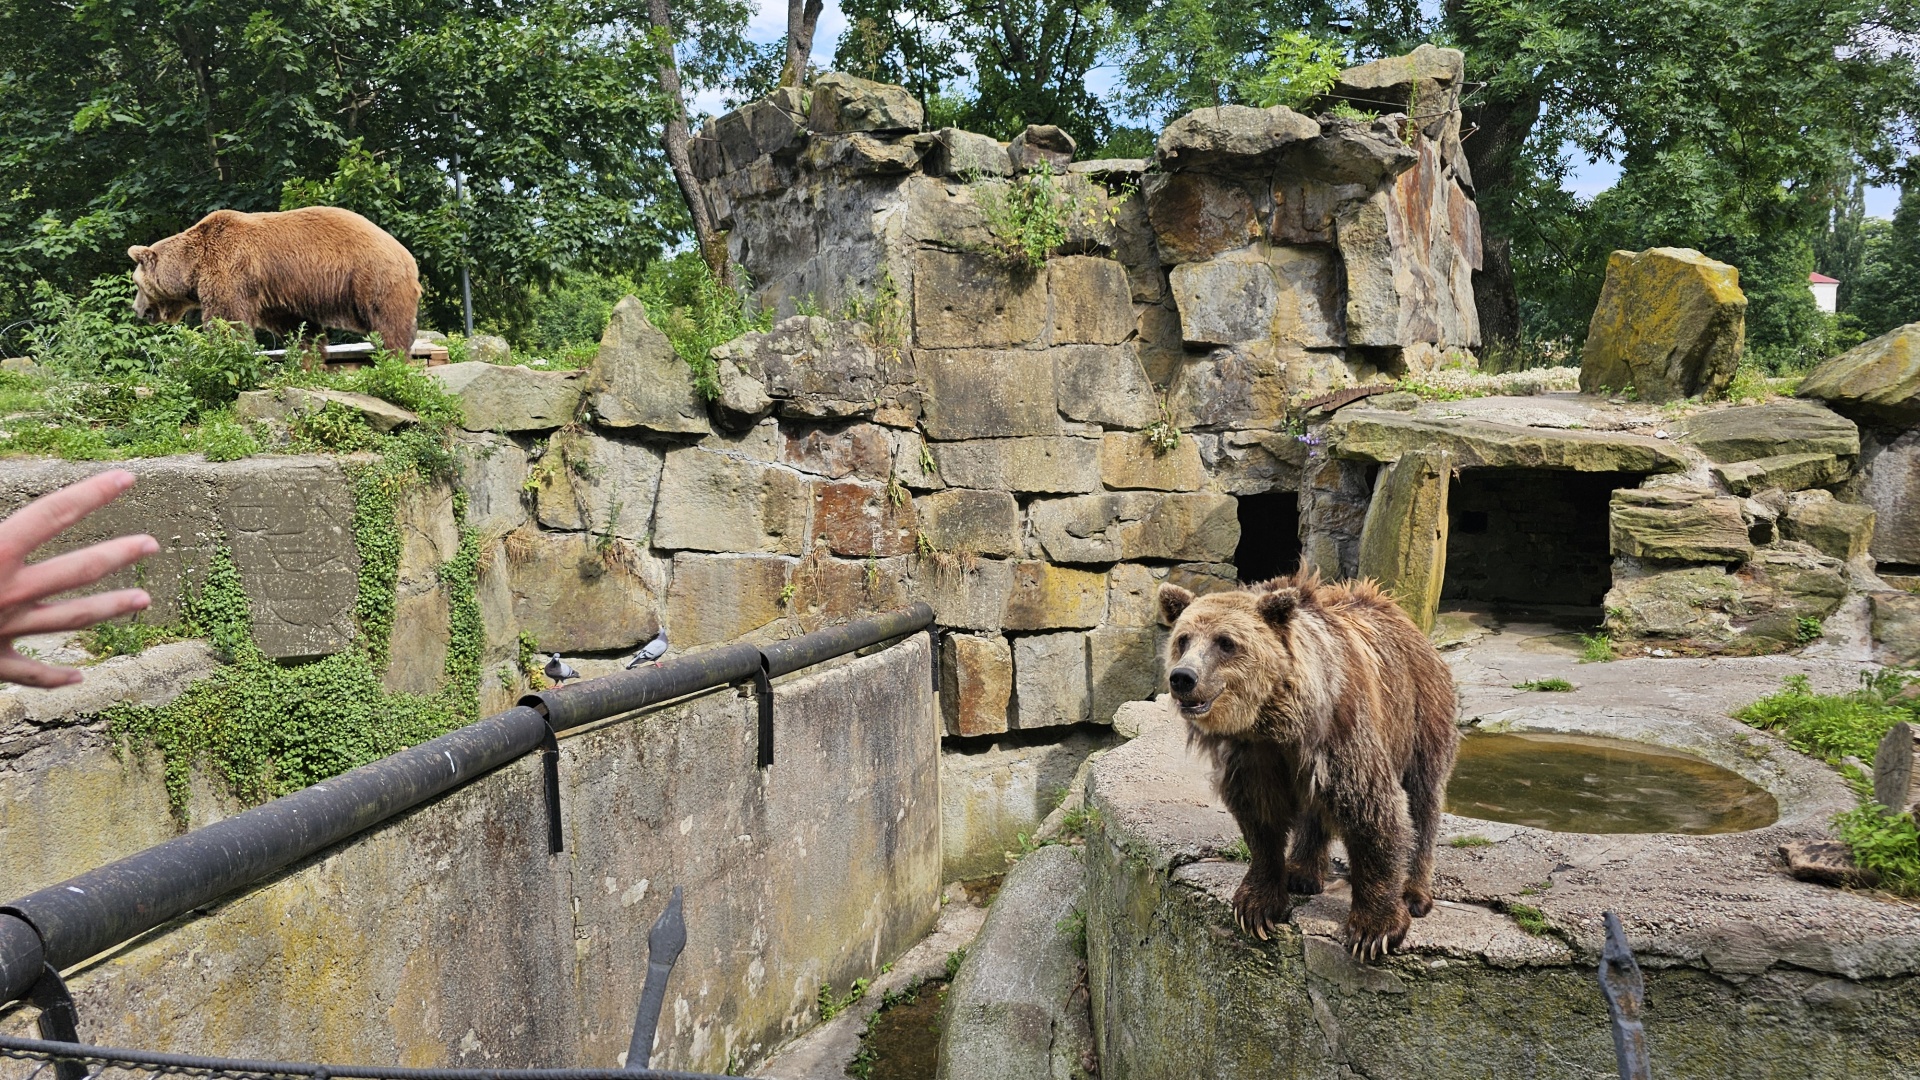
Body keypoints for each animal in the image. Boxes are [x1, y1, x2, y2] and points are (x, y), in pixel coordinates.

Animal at [131, 202, 424, 353]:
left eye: (136, 284)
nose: (136, 309)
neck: (192, 267)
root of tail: (409, 257)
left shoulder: (229, 270)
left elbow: (228, 319)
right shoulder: (274, 293)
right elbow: (300, 327)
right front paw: (309, 355)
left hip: (372, 276)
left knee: (387, 322)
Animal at [1152, 568, 1451, 953]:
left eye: (1226, 642)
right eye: (1183, 640)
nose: (1183, 678)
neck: (1276, 721)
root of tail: (1396, 611)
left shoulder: (1341, 733)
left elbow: (1372, 810)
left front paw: (1374, 929)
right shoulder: (1254, 754)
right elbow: (1260, 819)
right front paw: (1257, 906)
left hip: (1419, 714)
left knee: (1422, 799)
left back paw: (1415, 893)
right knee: (1315, 809)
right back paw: (1301, 872)